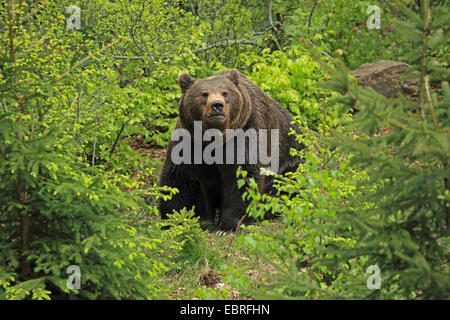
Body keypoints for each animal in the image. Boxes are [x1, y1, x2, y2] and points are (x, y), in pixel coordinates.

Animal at [157, 70, 302, 230]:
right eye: (204, 93)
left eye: (225, 93)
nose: (217, 105)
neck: (214, 139)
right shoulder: (189, 141)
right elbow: (179, 178)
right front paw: (173, 220)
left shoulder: (247, 131)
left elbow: (242, 175)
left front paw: (230, 224)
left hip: (292, 159)